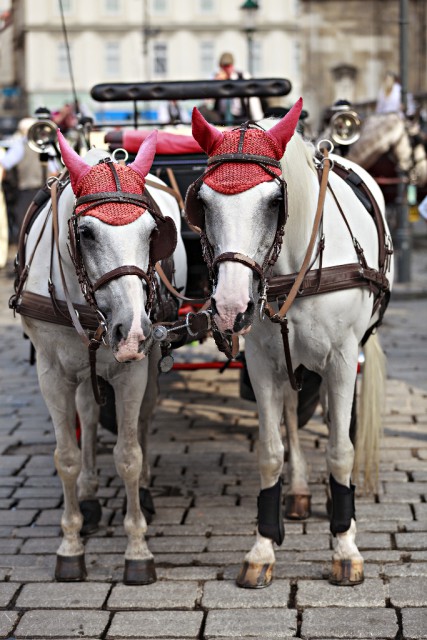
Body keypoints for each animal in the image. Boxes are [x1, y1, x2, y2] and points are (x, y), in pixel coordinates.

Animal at [11, 132, 187, 588]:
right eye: (86, 233)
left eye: (152, 233)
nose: (133, 330)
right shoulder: (51, 373)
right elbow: (66, 457)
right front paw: (70, 545)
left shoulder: (133, 370)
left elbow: (128, 456)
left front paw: (137, 550)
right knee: (88, 416)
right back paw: (89, 497)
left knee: (143, 415)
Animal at [186, 102, 396, 588]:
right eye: (202, 203)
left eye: (274, 202)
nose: (230, 305)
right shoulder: (262, 363)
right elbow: (270, 451)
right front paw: (263, 547)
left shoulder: (342, 361)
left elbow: (340, 450)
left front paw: (345, 544)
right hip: (288, 361)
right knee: (291, 418)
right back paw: (299, 491)